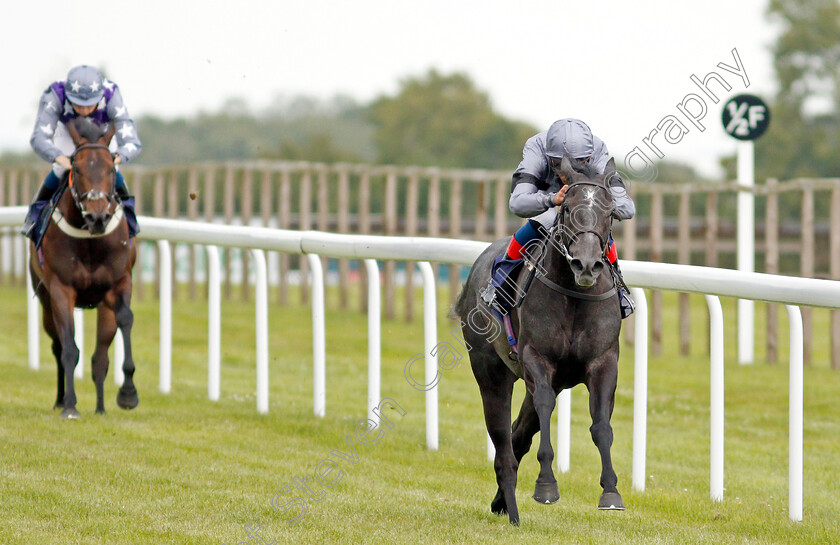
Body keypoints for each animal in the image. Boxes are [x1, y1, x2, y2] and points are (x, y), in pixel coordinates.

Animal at [28, 117, 139, 418]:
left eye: (111, 167)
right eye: (76, 168)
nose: (97, 216)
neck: (90, 240)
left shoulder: (119, 283)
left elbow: (125, 320)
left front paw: (128, 393)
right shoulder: (61, 289)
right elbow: (69, 348)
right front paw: (69, 406)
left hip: (102, 306)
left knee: (100, 357)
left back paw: (100, 408)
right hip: (45, 301)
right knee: (57, 346)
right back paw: (60, 399)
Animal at [452, 156, 624, 524]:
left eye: (610, 211)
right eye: (569, 207)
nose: (586, 265)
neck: (574, 294)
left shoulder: (604, 362)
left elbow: (601, 424)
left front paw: (611, 492)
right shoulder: (536, 358)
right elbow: (545, 408)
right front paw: (546, 486)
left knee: (519, 434)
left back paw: (502, 501)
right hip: (490, 371)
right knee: (503, 438)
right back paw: (512, 507)